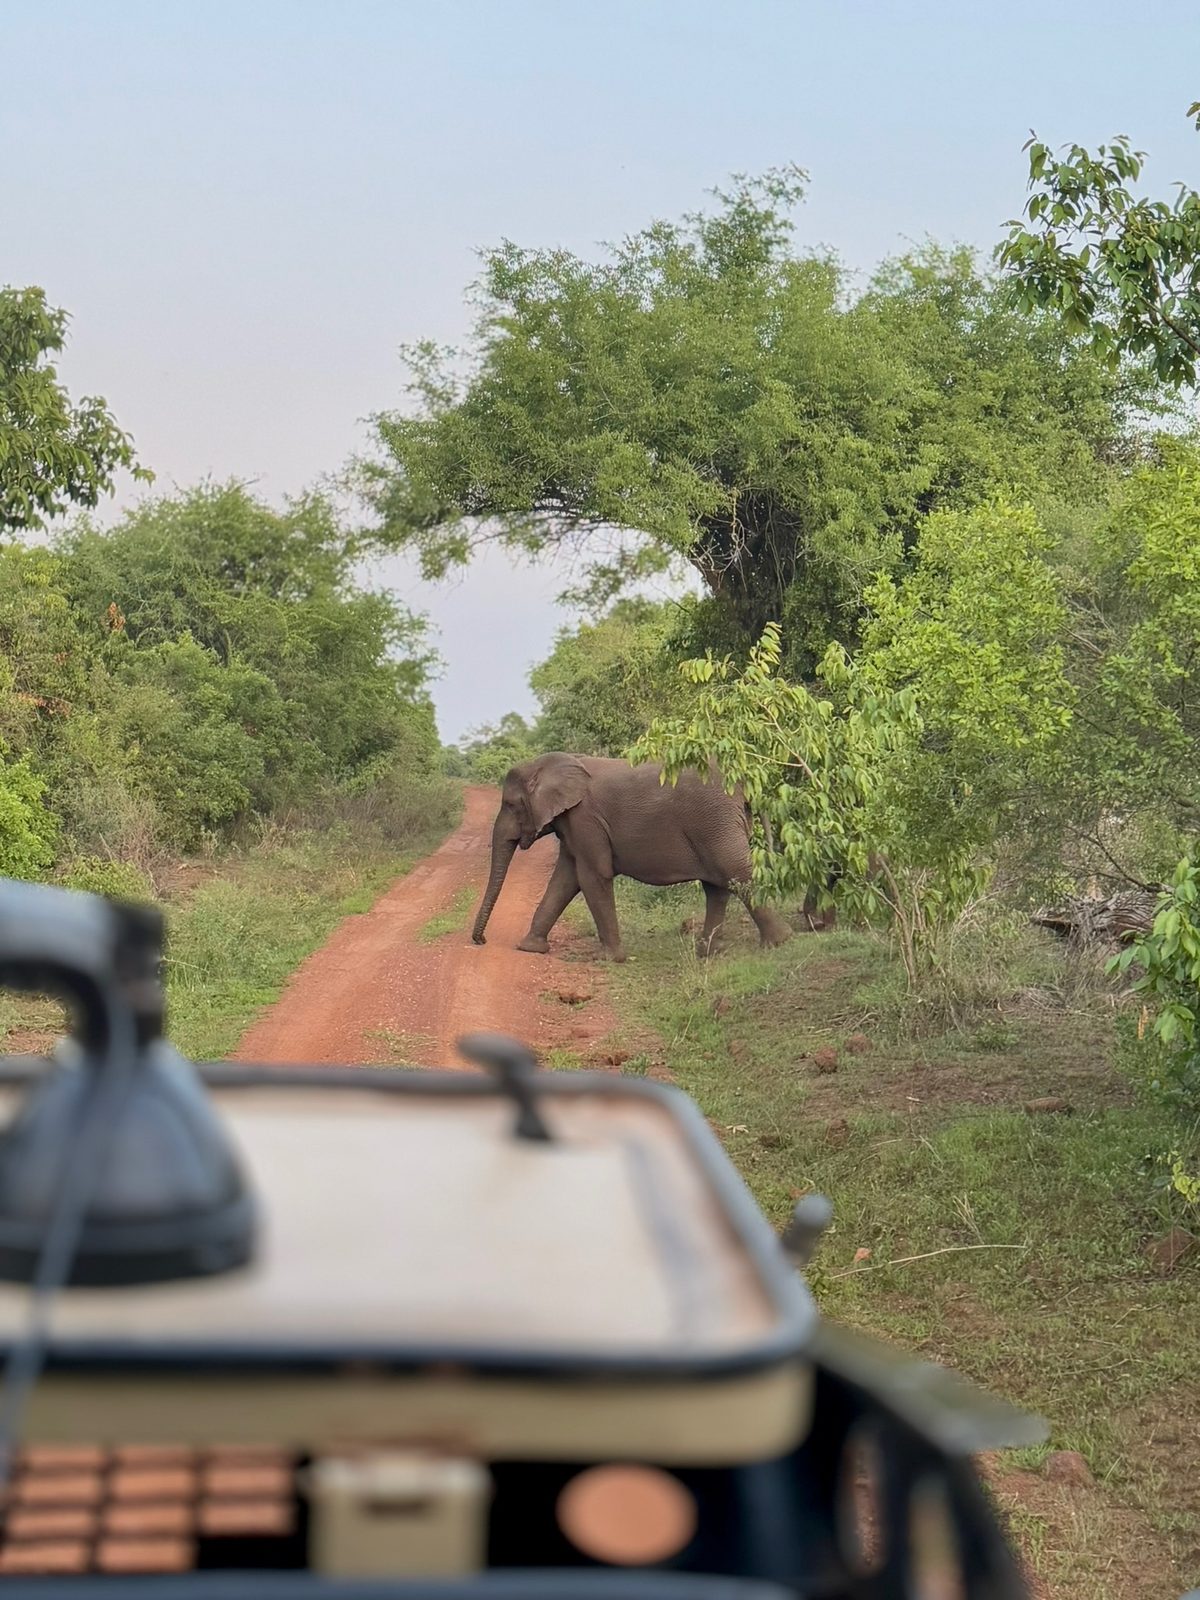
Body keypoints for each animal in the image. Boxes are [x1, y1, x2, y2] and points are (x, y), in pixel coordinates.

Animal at [470, 753, 793, 963]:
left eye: (511, 805)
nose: (481, 941)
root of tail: (744, 782)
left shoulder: (585, 818)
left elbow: (592, 876)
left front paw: (608, 959)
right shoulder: (574, 825)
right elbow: (566, 879)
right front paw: (529, 948)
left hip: (715, 821)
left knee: (736, 874)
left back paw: (780, 942)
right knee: (717, 885)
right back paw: (708, 953)